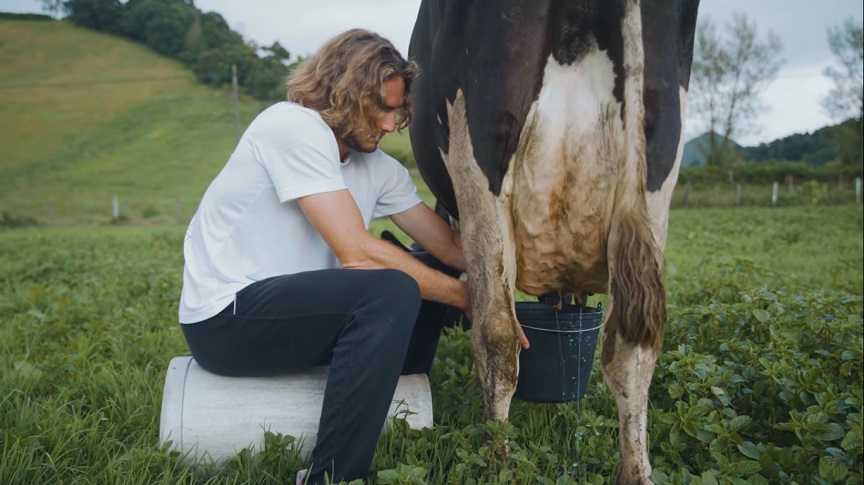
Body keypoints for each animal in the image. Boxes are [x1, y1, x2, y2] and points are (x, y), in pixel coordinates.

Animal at [408, 0, 700, 480]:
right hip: (657, 170)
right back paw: (635, 473)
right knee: (632, 350)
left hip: (478, 153)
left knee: (498, 335)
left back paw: (497, 461)